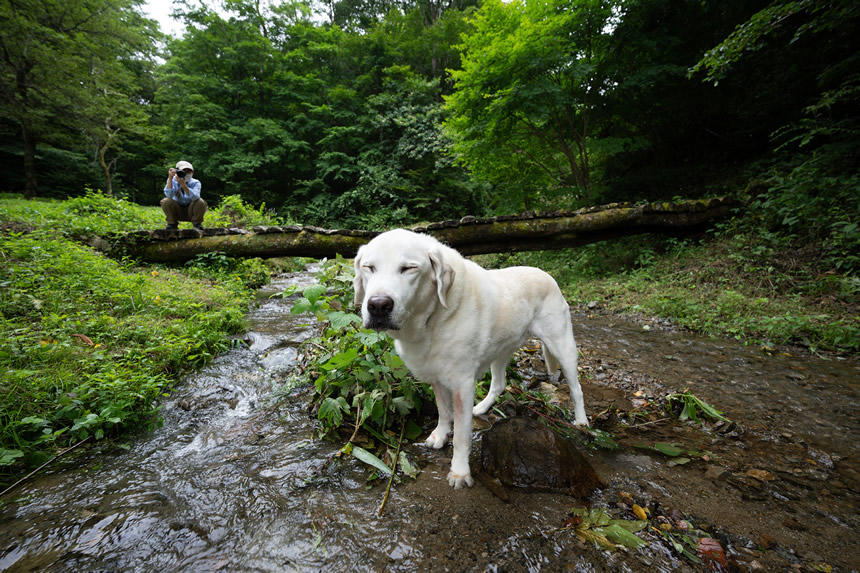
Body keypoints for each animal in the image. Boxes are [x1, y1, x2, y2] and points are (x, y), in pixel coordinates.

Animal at [352, 228, 588, 488]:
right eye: (369, 267)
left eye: (408, 268)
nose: (378, 306)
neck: (433, 319)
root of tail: (546, 275)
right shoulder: (437, 376)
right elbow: (443, 411)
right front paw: (440, 435)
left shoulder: (462, 385)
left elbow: (462, 436)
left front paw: (459, 472)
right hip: (501, 349)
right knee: (499, 384)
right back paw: (482, 407)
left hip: (562, 345)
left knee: (576, 388)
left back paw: (581, 421)